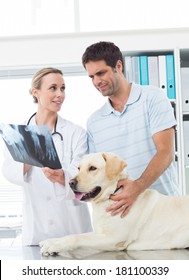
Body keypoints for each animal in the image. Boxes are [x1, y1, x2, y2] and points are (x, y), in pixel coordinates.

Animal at [39, 153, 189, 256]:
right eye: (79, 168)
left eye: (92, 168)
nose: (70, 183)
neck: (109, 197)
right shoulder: (99, 233)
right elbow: (78, 234)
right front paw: (51, 241)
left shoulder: (113, 239)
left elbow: (77, 237)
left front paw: (54, 245)